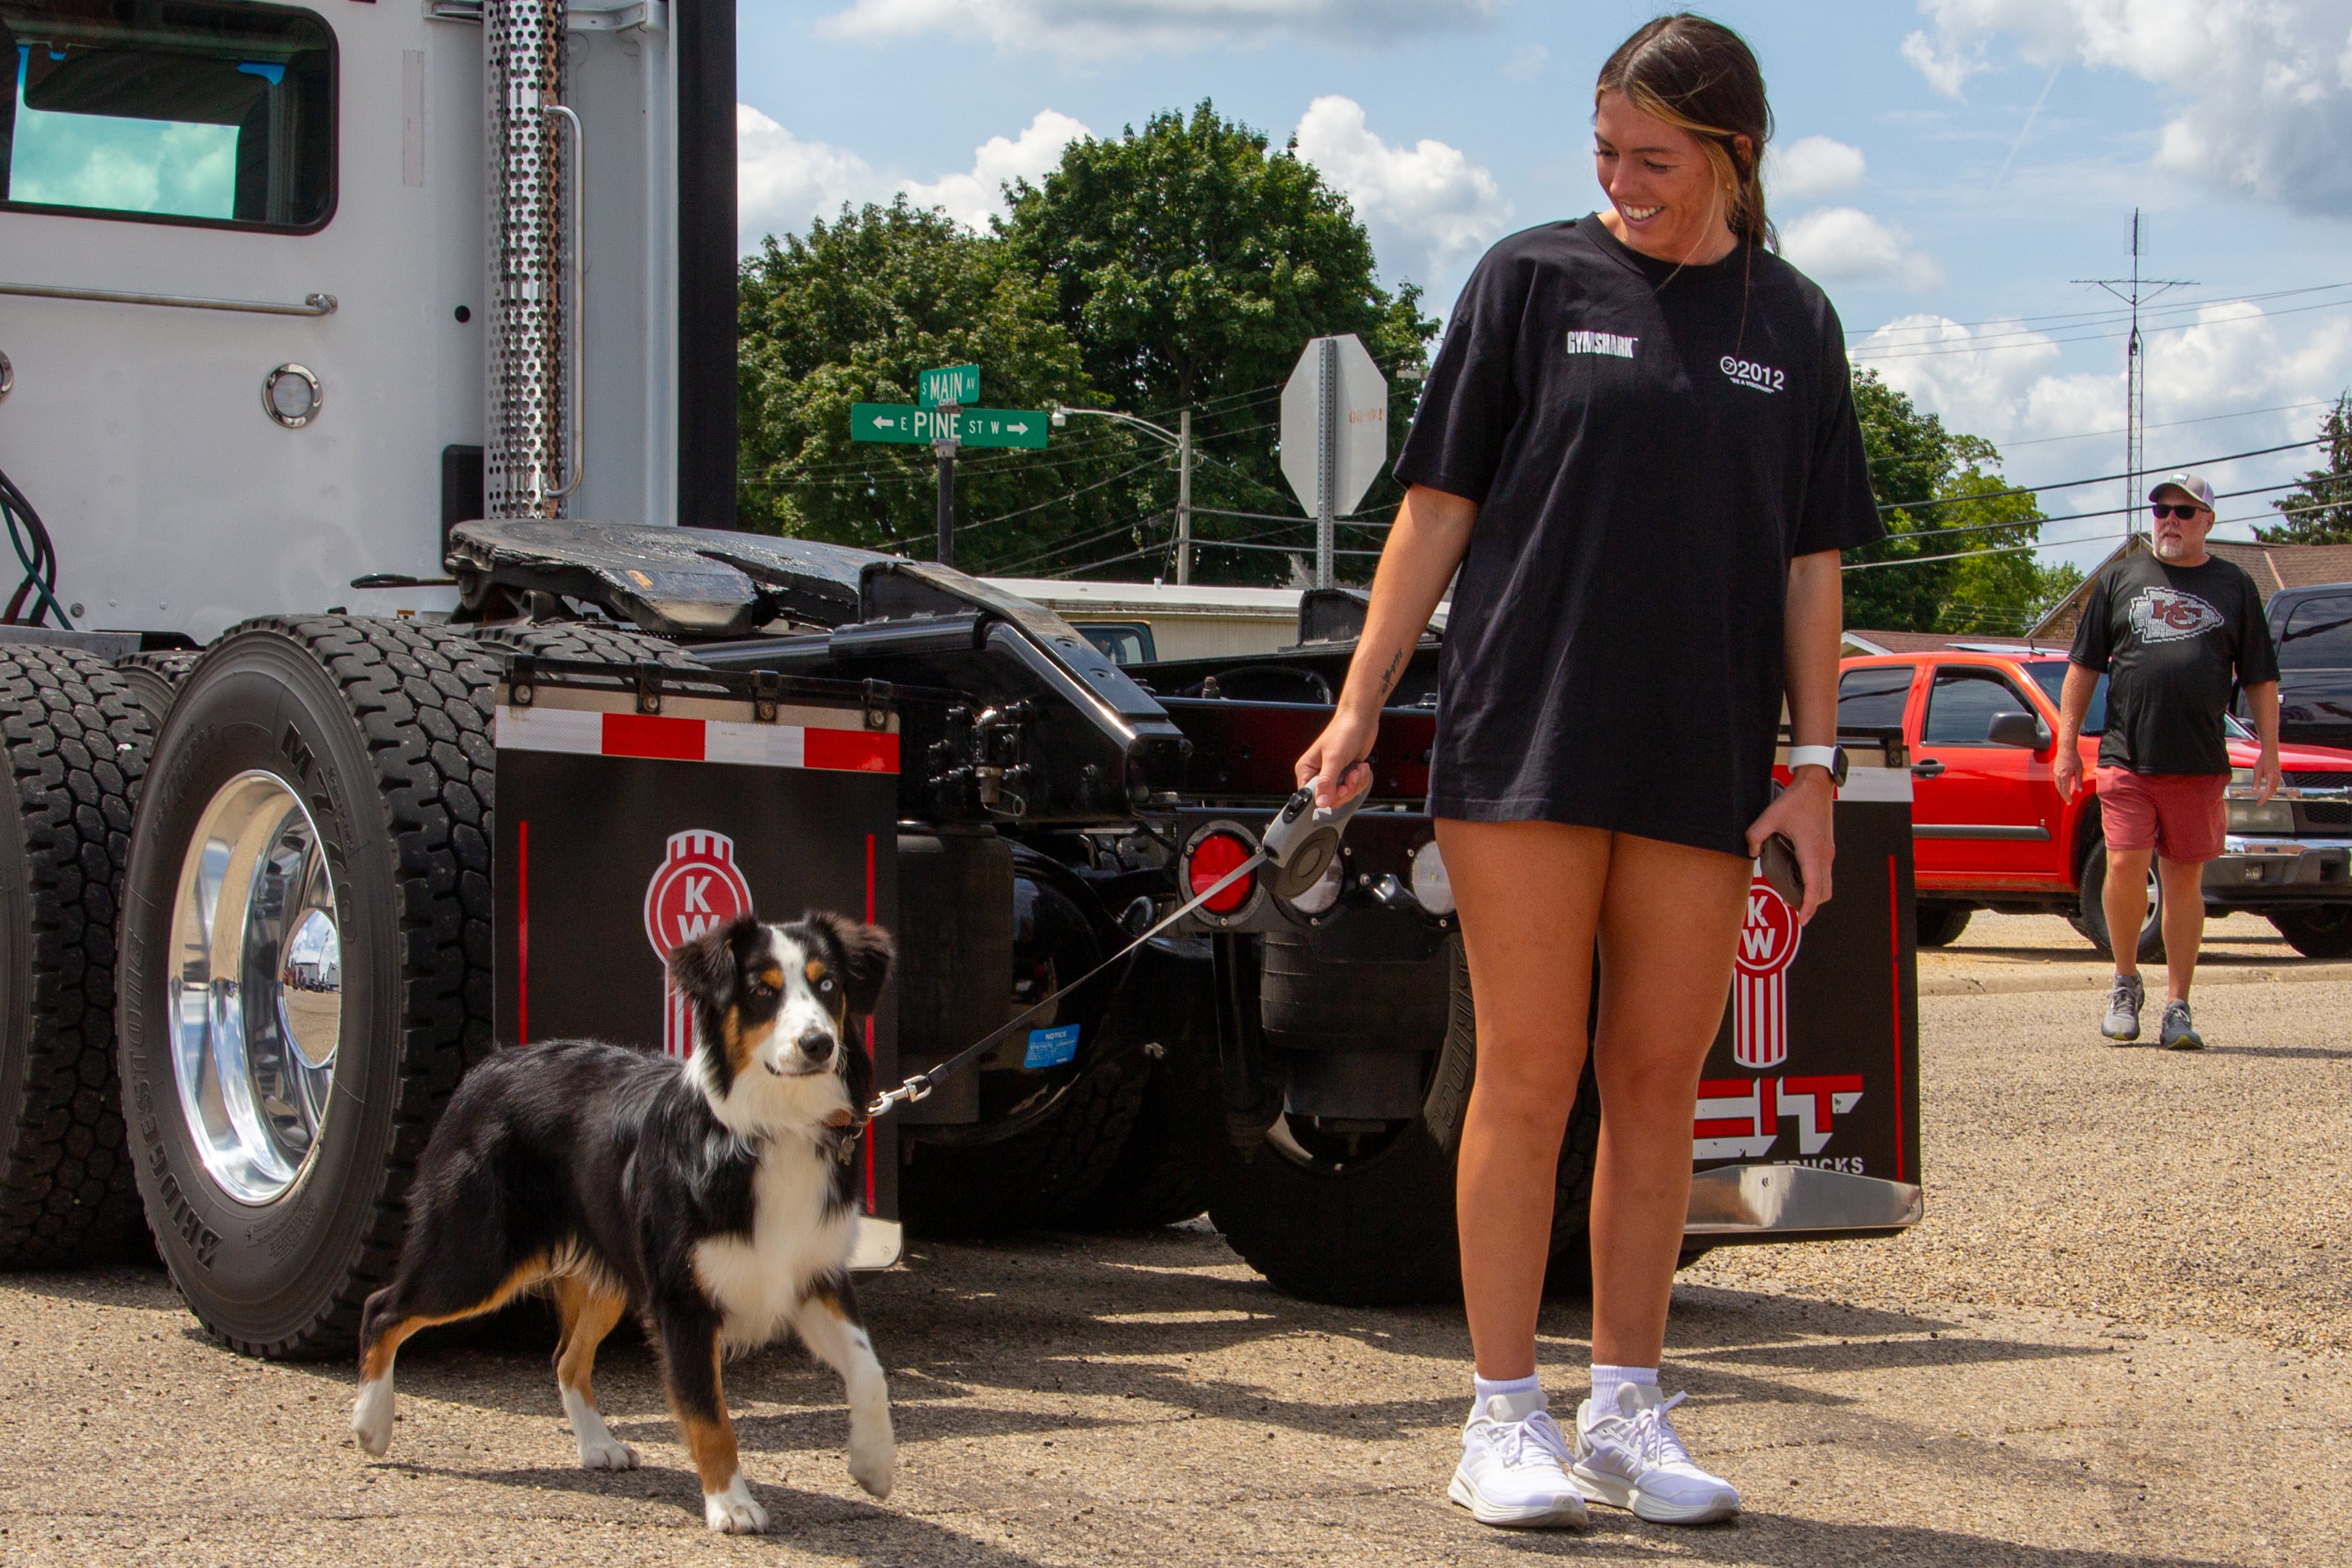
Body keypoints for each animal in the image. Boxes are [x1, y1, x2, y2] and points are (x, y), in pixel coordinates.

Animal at [352, 907, 894, 1532]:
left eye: (827, 984)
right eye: (762, 991)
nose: (818, 1044)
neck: (772, 1128)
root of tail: (491, 1062)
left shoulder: (811, 1273)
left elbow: (870, 1369)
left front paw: (873, 1463)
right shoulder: (683, 1299)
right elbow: (710, 1417)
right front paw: (731, 1503)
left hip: (604, 1269)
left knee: (566, 1358)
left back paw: (597, 1445)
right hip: (478, 1254)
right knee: (383, 1307)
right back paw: (370, 1422)